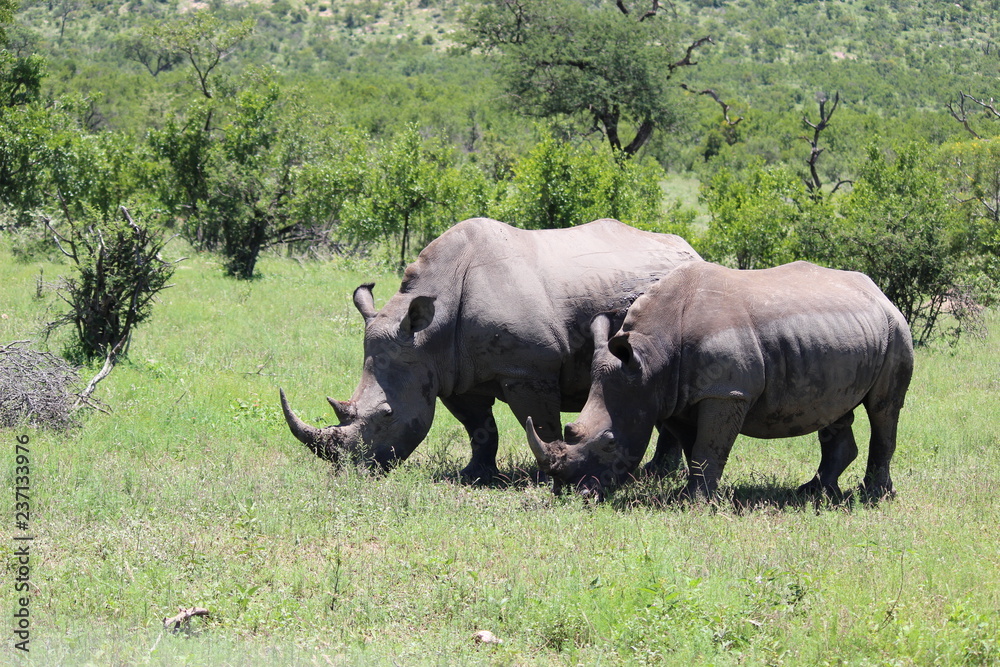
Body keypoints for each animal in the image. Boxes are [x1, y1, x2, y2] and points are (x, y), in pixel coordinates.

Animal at [280, 217, 702, 480]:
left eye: (387, 414)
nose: (351, 470)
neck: (428, 332)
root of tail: (693, 251)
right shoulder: (449, 372)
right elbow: (480, 428)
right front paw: (476, 475)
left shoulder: (528, 371)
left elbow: (541, 423)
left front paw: (541, 474)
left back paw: (657, 473)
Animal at [526, 261, 914, 499]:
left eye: (608, 442)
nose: (572, 491)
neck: (651, 358)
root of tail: (879, 293)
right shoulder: (674, 397)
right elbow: (693, 448)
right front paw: (689, 495)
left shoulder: (726, 393)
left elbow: (709, 446)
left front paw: (696, 502)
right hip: (839, 338)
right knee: (834, 409)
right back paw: (814, 492)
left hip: (895, 330)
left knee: (884, 409)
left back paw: (873, 495)